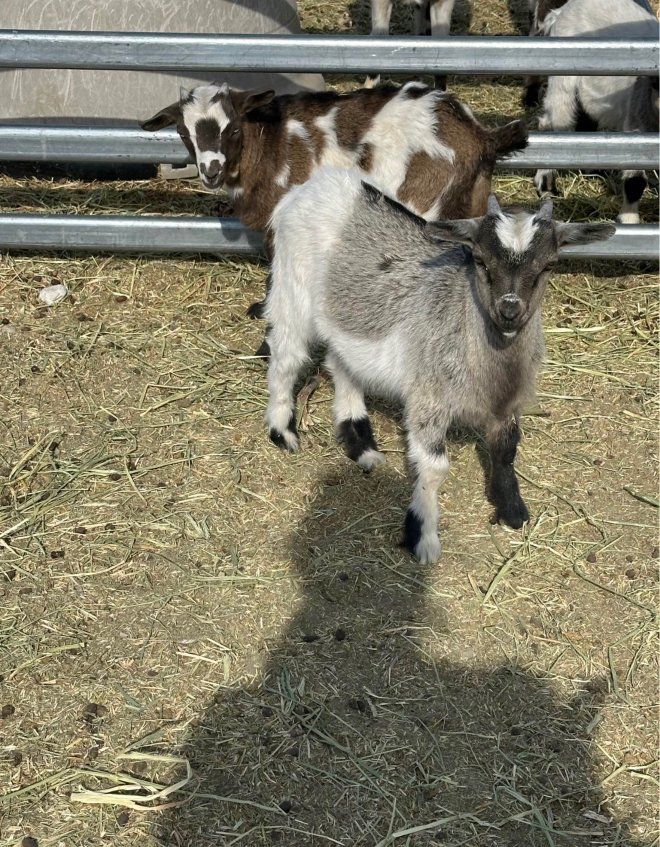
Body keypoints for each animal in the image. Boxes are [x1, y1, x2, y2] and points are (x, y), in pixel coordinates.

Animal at [264, 167, 614, 563]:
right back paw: (282, 431)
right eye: (480, 259)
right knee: (285, 356)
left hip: (347, 317)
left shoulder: (508, 400)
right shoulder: (427, 399)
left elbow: (506, 449)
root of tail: (316, 184)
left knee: (341, 362)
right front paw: (424, 537)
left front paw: (512, 510)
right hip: (291, 287)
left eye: (549, 264)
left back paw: (362, 446)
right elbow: (434, 467)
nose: (509, 311)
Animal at [533, 0, 658, 223]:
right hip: (562, 81)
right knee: (552, 121)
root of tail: (560, 12)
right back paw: (546, 182)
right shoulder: (637, 126)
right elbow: (635, 182)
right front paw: (629, 220)